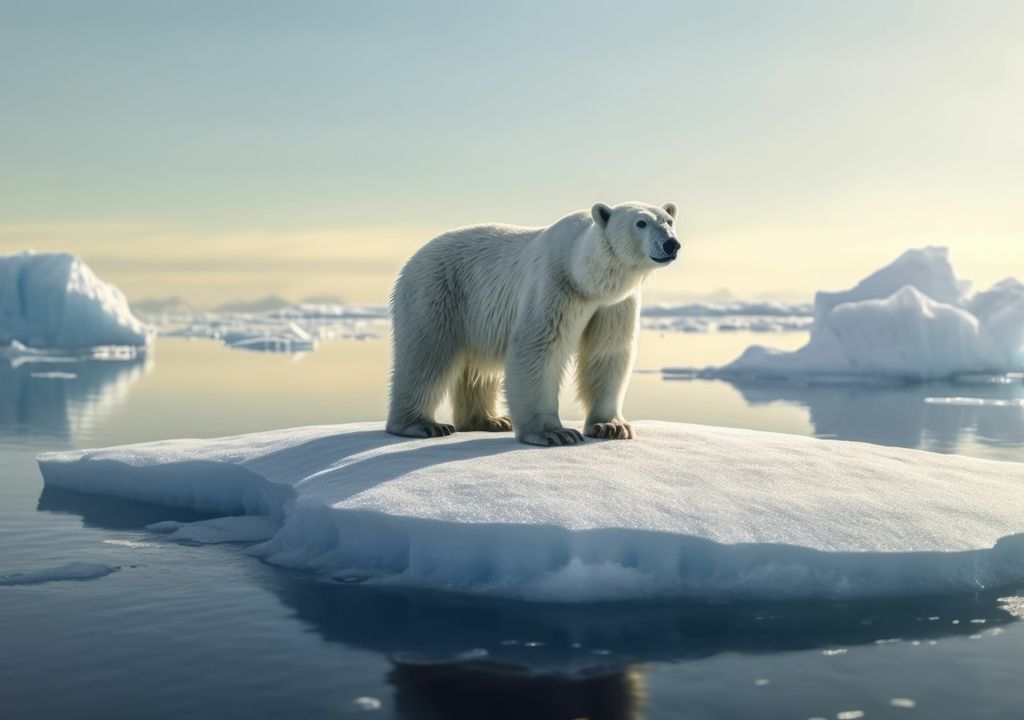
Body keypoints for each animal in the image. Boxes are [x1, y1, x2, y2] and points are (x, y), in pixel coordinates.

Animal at [386, 201, 681, 446]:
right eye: (641, 223)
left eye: (669, 220)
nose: (671, 245)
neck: (584, 276)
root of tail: (414, 257)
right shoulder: (554, 285)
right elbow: (539, 348)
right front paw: (555, 433)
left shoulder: (613, 304)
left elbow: (607, 352)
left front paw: (612, 426)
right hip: (437, 291)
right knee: (426, 354)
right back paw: (421, 425)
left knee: (478, 368)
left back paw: (490, 420)